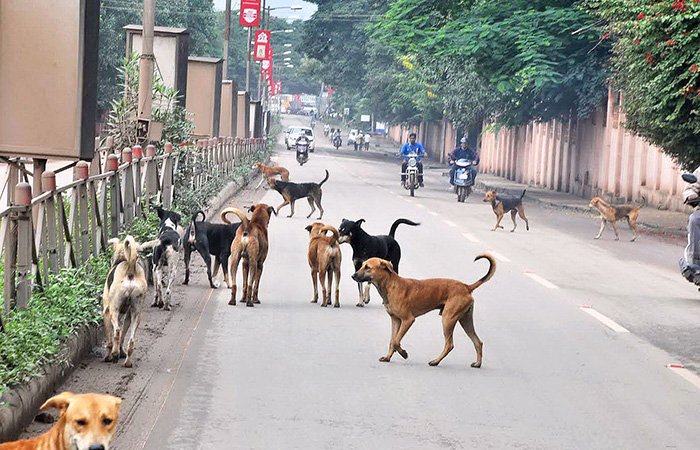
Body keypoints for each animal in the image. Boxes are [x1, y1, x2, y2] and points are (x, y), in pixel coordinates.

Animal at [350, 255, 498, 368]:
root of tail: (467, 287)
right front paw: (388, 357)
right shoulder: (395, 320)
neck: (390, 284)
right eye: (362, 265)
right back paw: (478, 363)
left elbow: (397, 341)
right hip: (465, 320)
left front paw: (404, 353)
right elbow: (392, 341)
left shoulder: (408, 320)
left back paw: (436, 361)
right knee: (478, 342)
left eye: (367, 267)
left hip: (448, 319)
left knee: (449, 345)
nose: (353, 276)